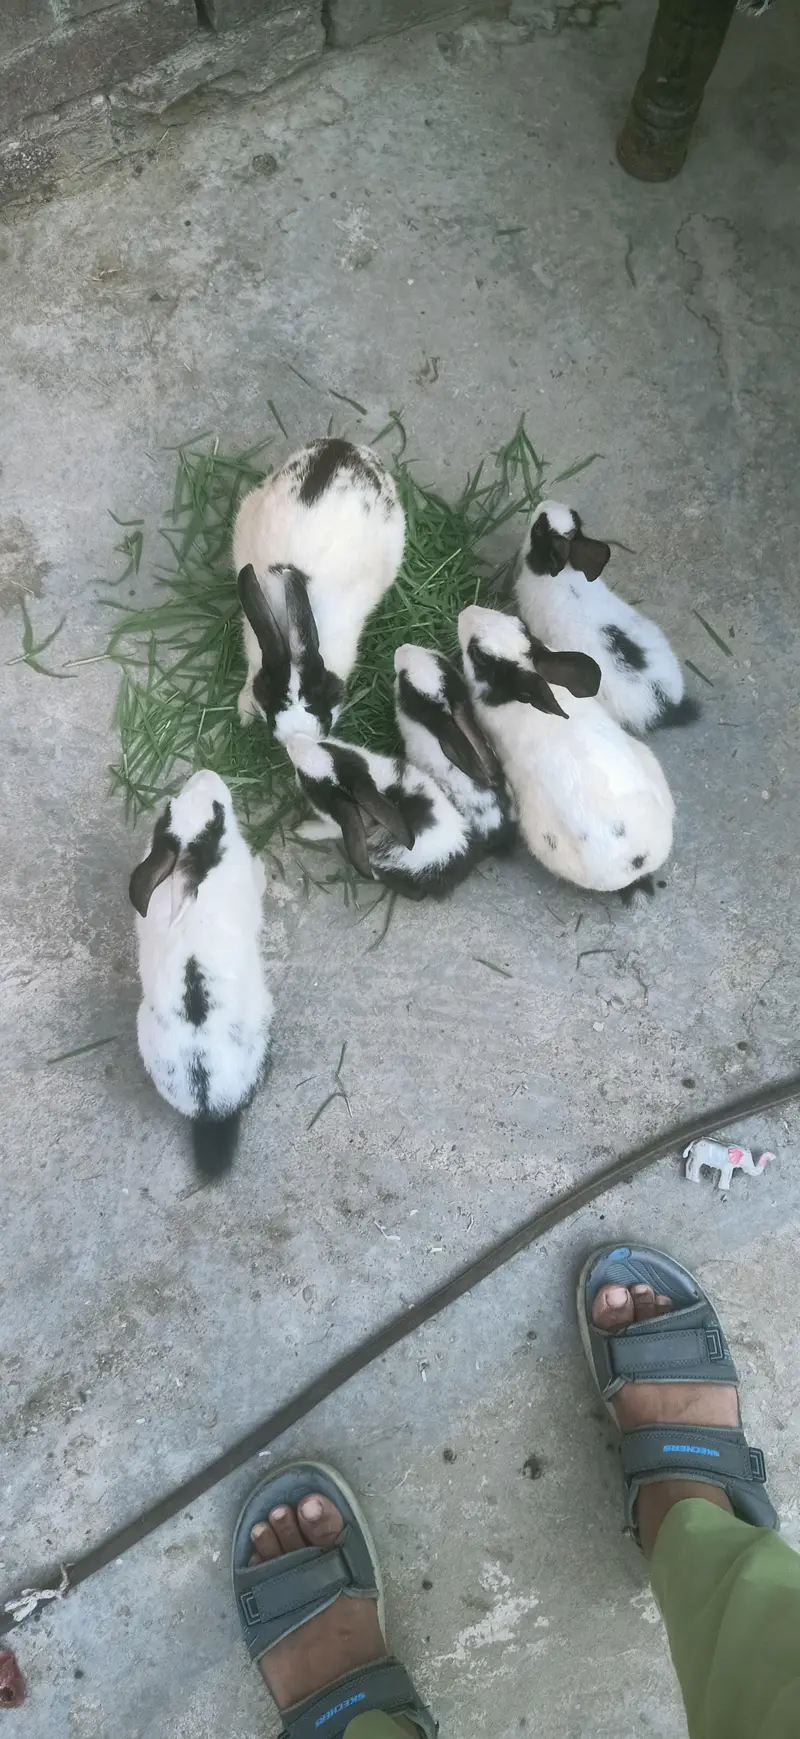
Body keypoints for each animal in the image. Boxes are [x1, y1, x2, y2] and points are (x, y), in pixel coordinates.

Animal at [285, 733, 483, 899]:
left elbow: (327, 829)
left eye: (306, 781)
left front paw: (302, 830)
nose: (291, 740)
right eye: (327, 746)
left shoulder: (339, 826)